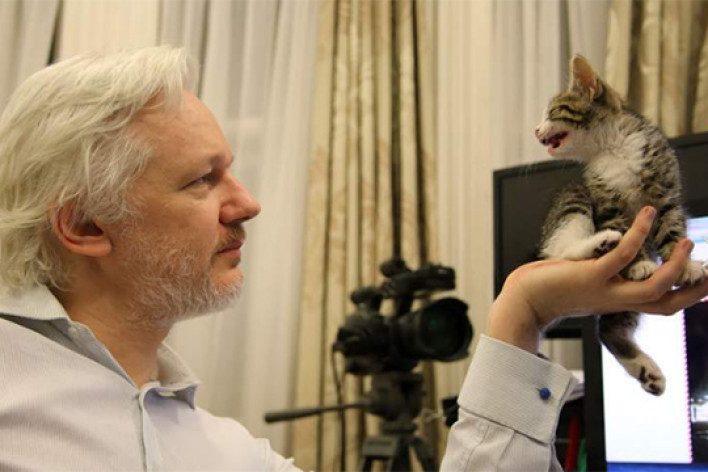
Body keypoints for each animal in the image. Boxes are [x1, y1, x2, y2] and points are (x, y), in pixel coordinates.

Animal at [535, 54, 706, 396]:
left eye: (551, 112)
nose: (535, 130)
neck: (612, 148)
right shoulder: (605, 201)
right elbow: (624, 228)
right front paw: (638, 264)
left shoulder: (665, 191)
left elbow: (672, 229)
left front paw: (684, 265)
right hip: (575, 196)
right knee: (561, 252)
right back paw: (600, 243)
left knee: (608, 328)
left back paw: (646, 370)